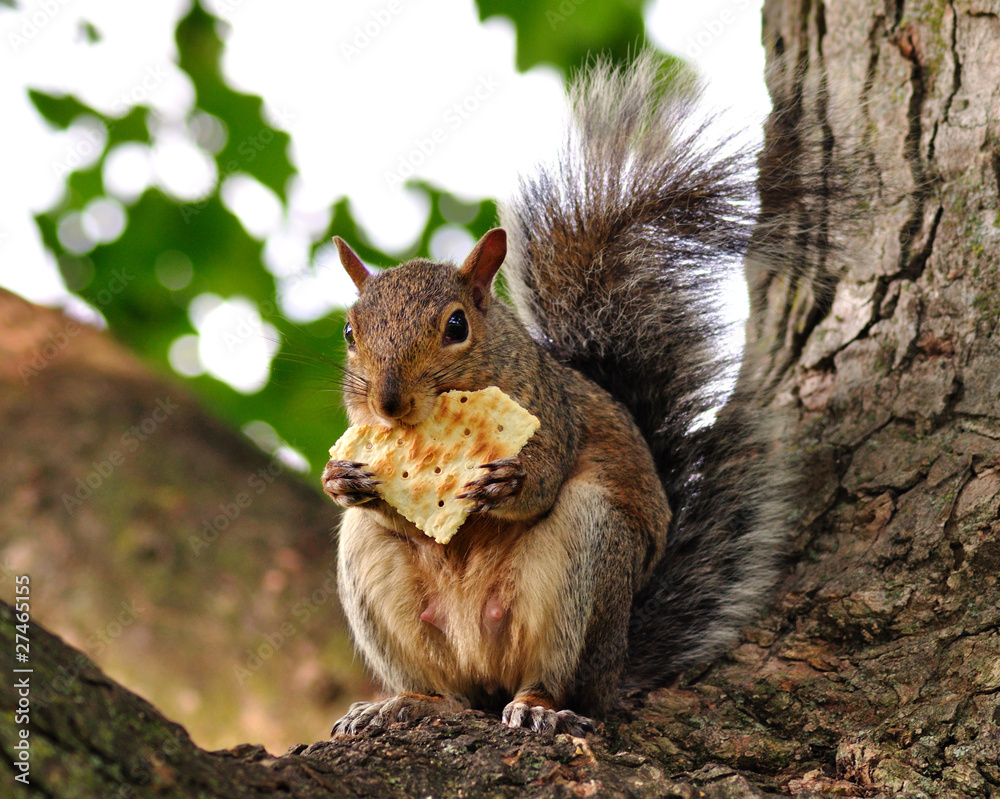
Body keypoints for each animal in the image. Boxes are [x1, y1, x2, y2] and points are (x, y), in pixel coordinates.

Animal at [320, 51, 804, 736]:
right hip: (378, 577)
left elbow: (542, 482)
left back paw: (539, 707)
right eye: (349, 332)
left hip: (588, 557)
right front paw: (342, 479)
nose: (387, 405)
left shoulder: (553, 413)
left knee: (557, 678)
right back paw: (407, 701)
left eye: (456, 326)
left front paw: (508, 482)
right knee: (451, 692)